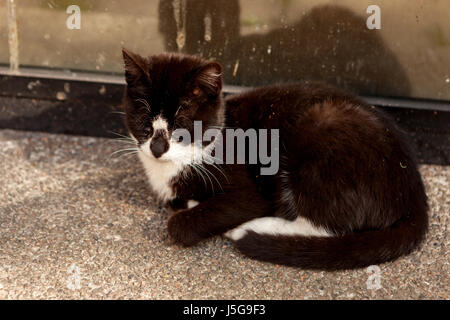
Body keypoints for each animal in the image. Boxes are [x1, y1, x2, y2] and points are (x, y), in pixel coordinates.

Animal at [121, 48, 428, 268]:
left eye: (181, 123)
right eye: (145, 118)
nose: (157, 147)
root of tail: (413, 192)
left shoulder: (248, 188)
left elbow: (184, 223)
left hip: (319, 131)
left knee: (327, 224)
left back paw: (252, 230)